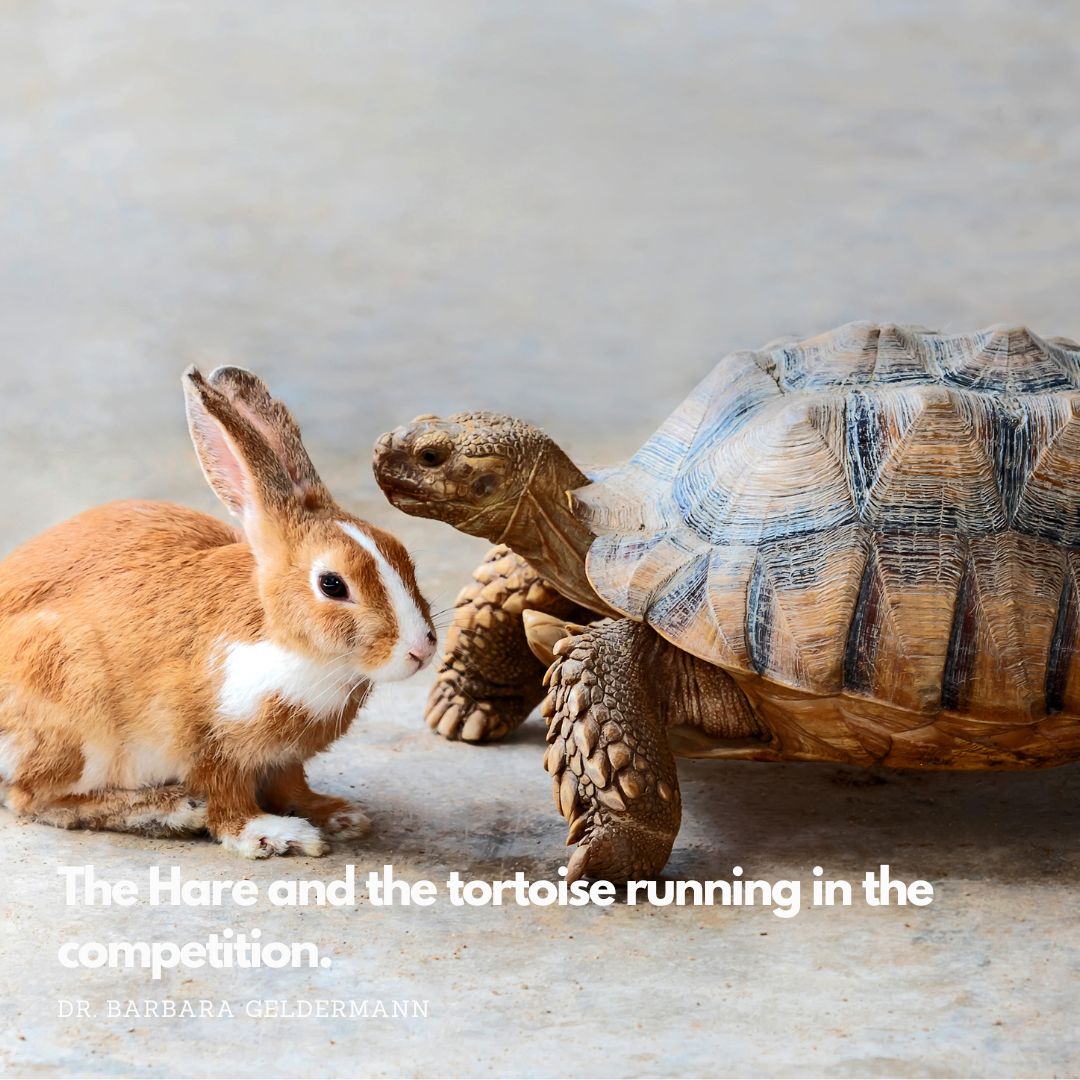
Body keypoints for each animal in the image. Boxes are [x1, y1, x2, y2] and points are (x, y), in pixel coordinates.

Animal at [0, 365, 436, 857]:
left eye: (402, 554)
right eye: (332, 585)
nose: (421, 650)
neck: (290, 645)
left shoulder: (285, 759)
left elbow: (294, 787)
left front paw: (337, 816)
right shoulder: (209, 746)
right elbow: (228, 802)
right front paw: (274, 835)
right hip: (76, 716)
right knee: (32, 798)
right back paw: (170, 809)